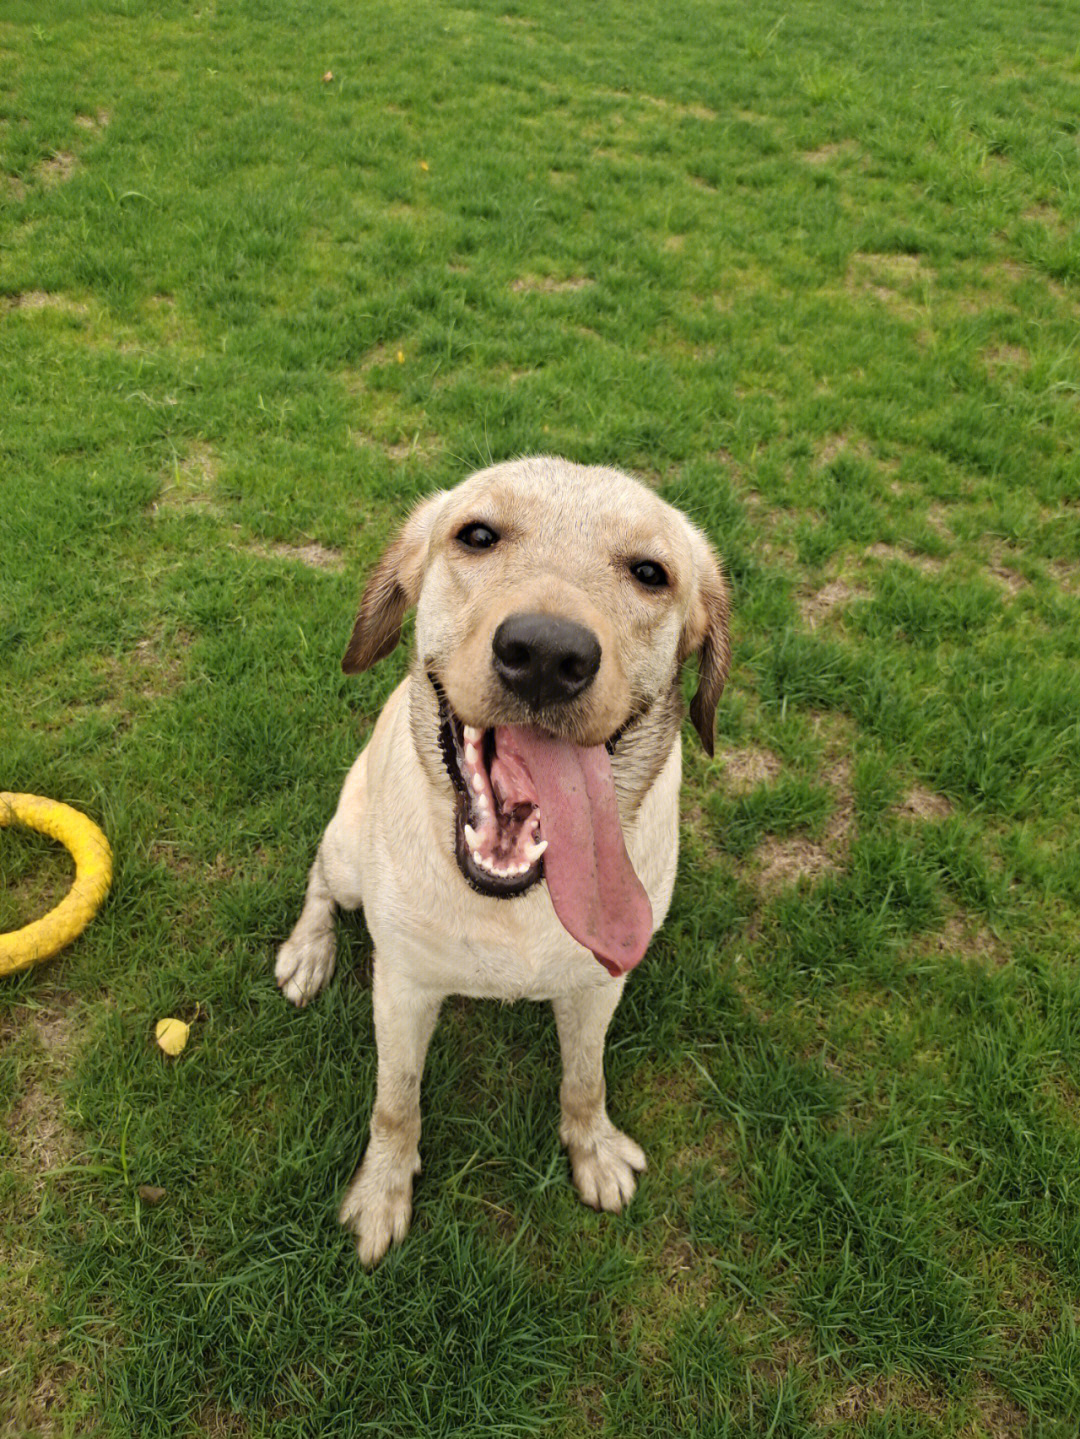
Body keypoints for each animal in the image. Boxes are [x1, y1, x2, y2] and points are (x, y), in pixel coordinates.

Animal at [274, 454, 730, 1266]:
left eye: (650, 572)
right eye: (477, 535)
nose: (547, 654)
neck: (514, 900)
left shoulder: (598, 984)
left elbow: (586, 1078)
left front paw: (594, 1148)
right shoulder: (403, 985)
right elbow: (396, 1102)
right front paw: (382, 1190)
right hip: (348, 855)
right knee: (320, 882)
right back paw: (308, 950)